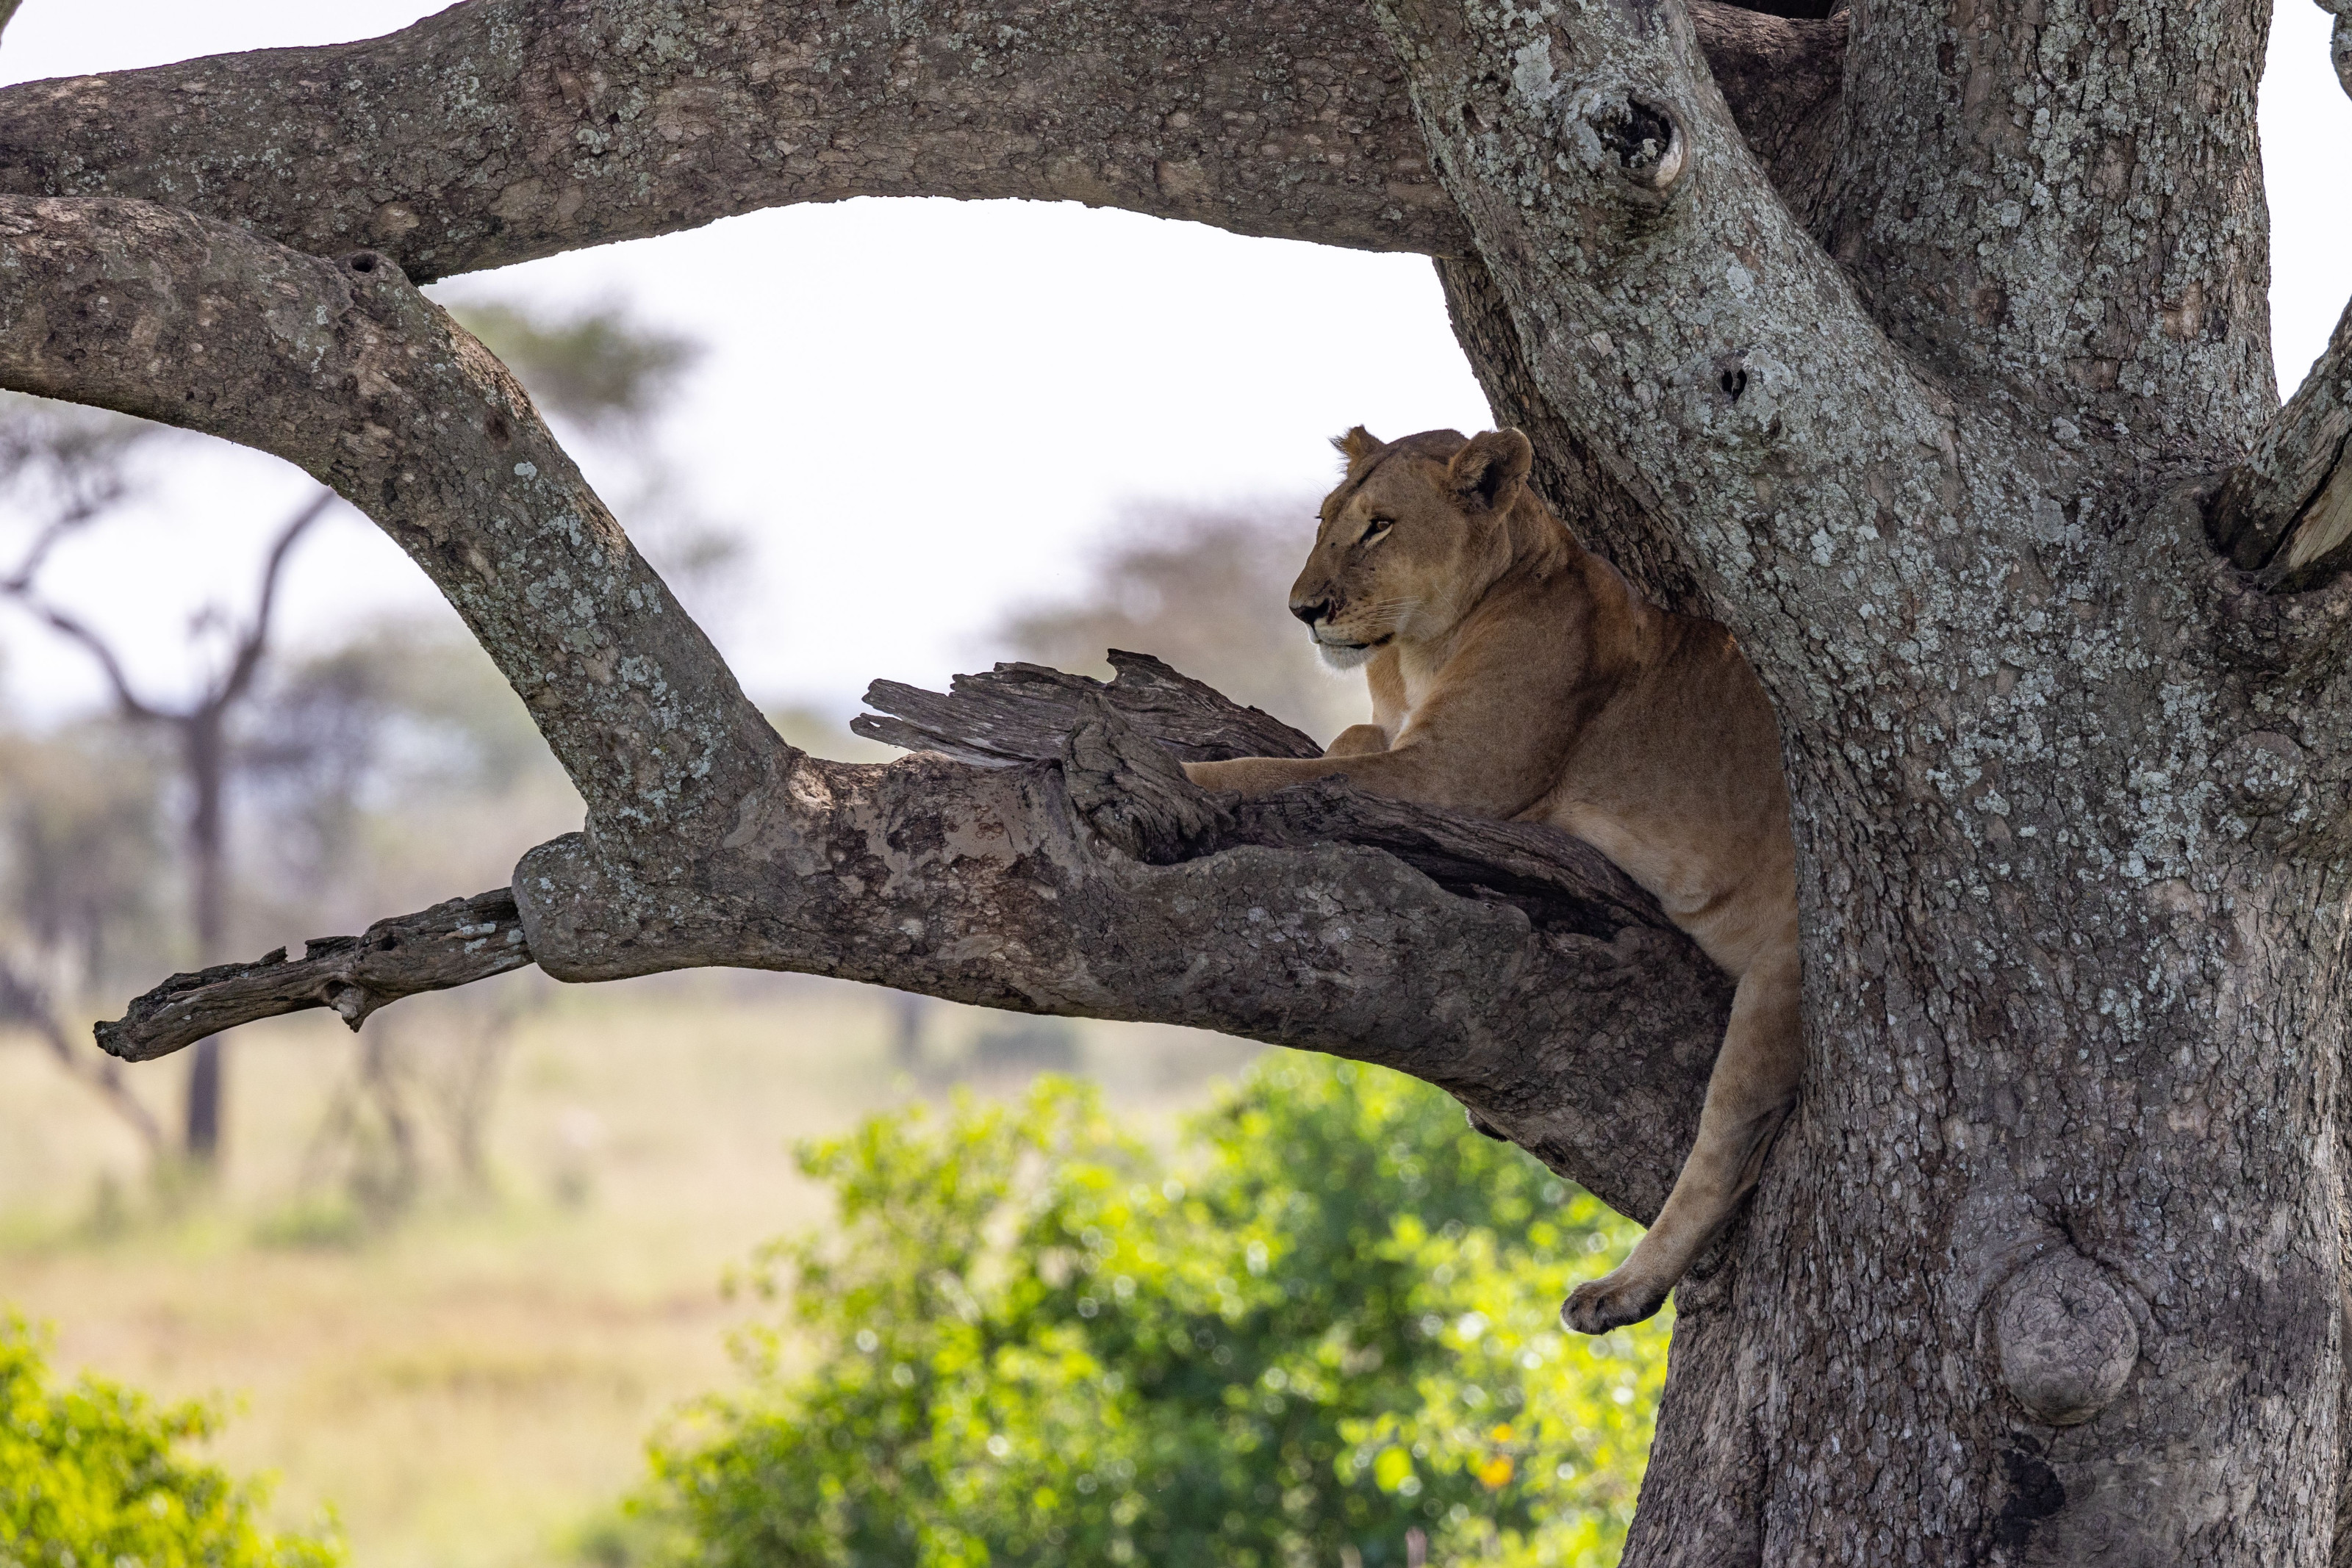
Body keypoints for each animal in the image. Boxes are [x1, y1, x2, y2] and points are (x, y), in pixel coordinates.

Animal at [1182, 425, 1801, 1334]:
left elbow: (1274, 773)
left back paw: (1621, 1287)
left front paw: (1181, 770)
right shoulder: (1406, 746)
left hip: (1780, 974)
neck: (1414, 652)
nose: (1303, 611)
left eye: (1378, 527)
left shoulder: (1453, 780)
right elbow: (1338, 744)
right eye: (1325, 520)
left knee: (1726, 1147)